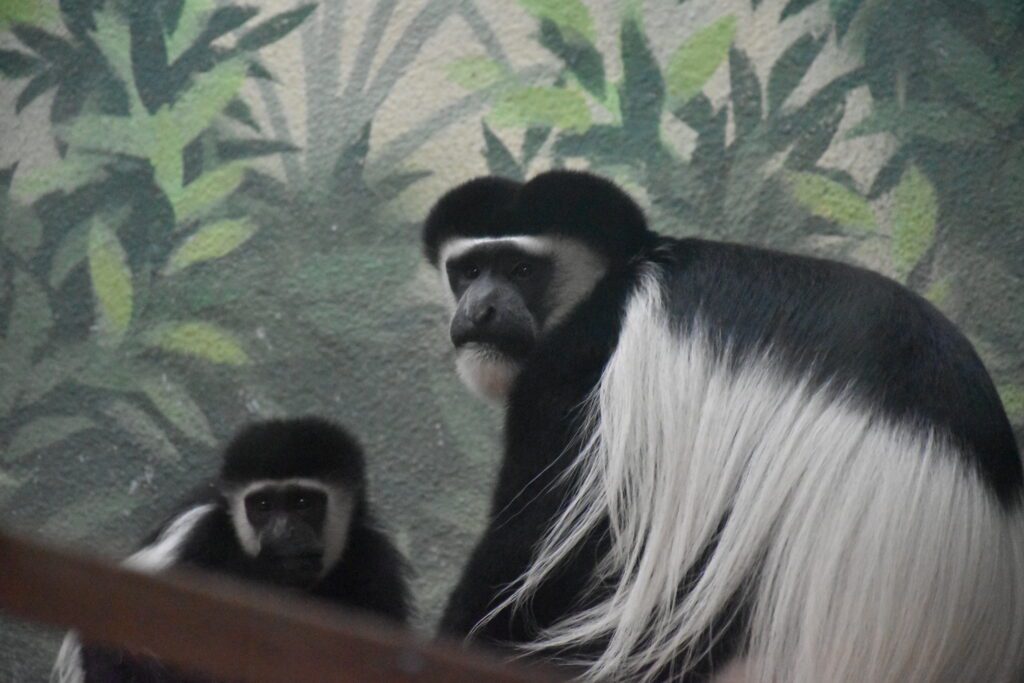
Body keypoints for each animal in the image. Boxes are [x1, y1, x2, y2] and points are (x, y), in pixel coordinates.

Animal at [422, 170, 1024, 682]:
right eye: (469, 271)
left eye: (521, 270)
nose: (479, 312)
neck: (626, 271)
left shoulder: (582, 365)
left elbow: (531, 551)